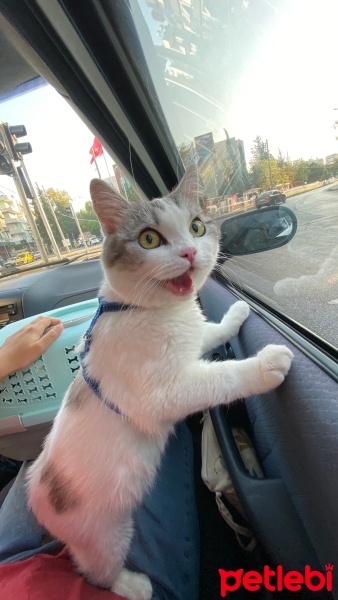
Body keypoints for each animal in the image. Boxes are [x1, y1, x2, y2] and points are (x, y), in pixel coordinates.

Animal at [27, 164, 294, 600]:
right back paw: (134, 585)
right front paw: (266, 364)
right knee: (94, 572)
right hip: (107, 535)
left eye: (197, 227)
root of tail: (37, 494)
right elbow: (220, 377)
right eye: (149, 239)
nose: (189, 252)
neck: (147, 310)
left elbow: (210, 332)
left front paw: (236, 314)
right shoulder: (162, 394)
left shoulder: (191, 340)